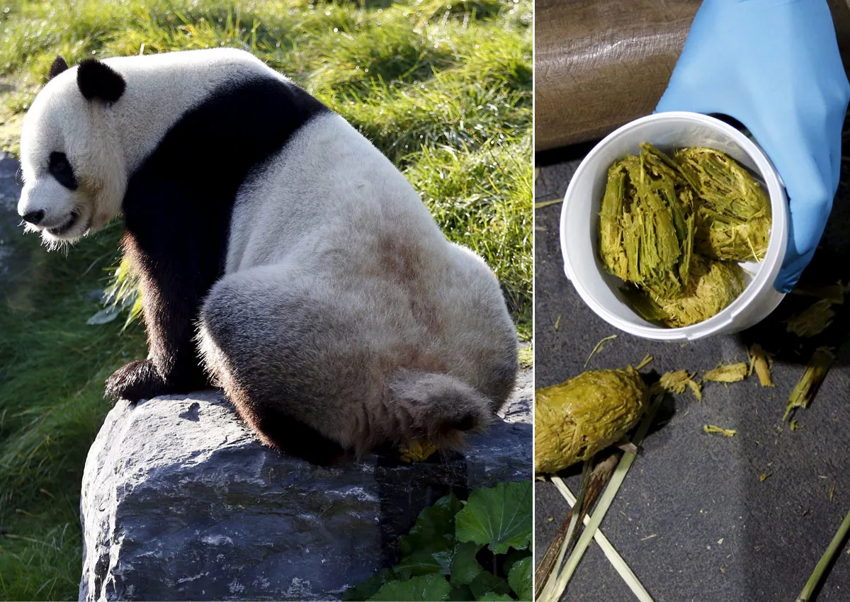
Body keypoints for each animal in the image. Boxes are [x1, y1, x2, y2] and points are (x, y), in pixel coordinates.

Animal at [18, 49, 516, 462]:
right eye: (27, 166)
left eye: (59, 164)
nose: (31, 213)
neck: (151, 108)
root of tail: (423, 382)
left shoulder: (185, 173)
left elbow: (178, 283)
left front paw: (142, 377)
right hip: (475, 304)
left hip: (318, 340)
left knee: (231, 318)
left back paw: (277, 428)